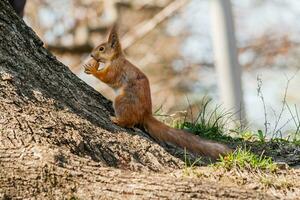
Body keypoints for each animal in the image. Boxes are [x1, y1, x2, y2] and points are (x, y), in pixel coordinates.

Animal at [83, 25, 231, 159]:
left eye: (101, 48)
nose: (91, 55)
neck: (115, 59)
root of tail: (145, 114)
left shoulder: (117, 69)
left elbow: (107, 77)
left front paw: (93, 70)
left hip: (123, 101)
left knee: (129, 122)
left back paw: (118, 120)